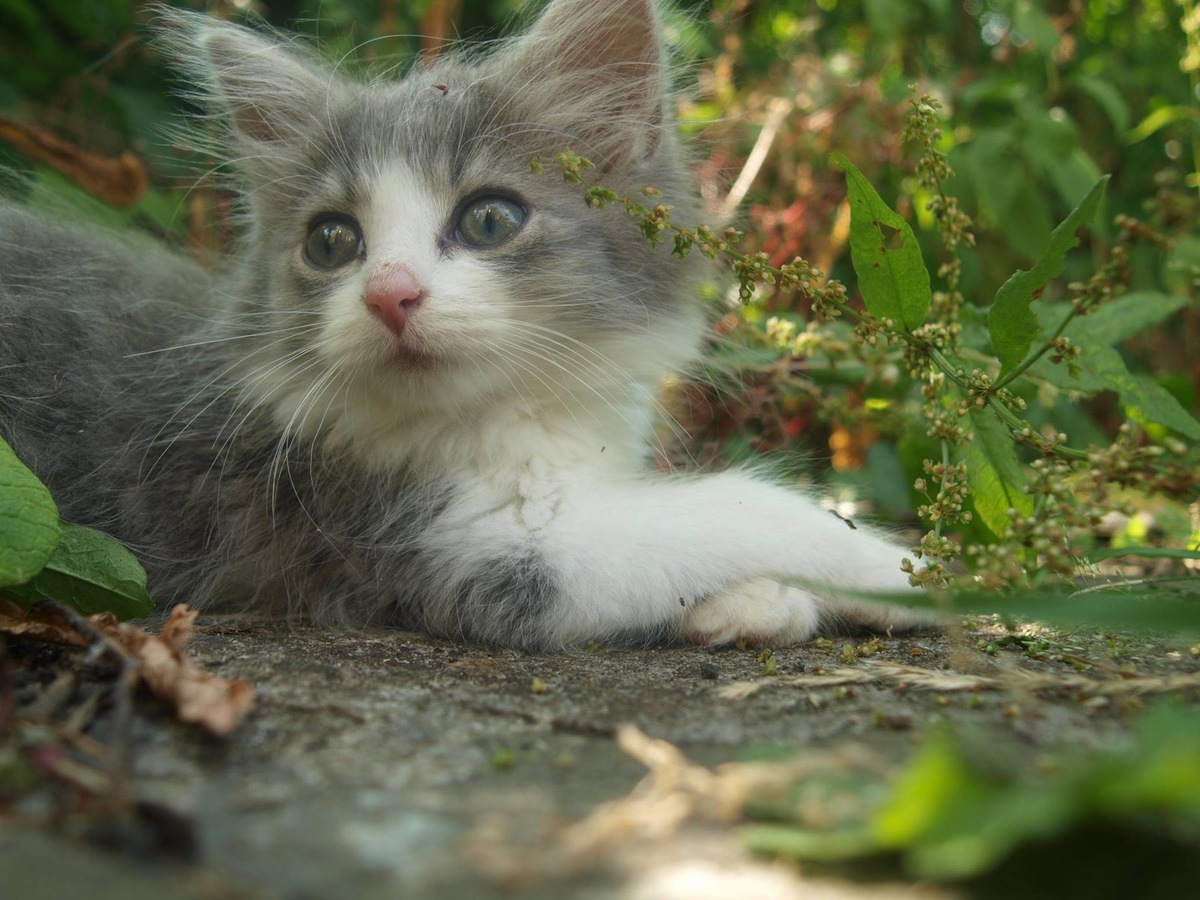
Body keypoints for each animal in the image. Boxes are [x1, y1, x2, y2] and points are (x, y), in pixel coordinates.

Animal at [0, 0, 926, 652]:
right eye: (332, 241)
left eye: (488, 220)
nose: (390, 294)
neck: (515, 415)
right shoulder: (459, 550)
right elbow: (735, 507)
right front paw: (903, 570)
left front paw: (760, 603)